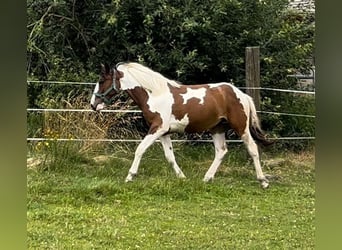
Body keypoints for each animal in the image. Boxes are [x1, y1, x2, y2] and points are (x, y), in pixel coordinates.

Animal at [91, 62, 272, 188]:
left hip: (241, 128)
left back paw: (263, 181)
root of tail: (242, 94)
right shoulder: (164, 133)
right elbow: (170, 156)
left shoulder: (157, 128)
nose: (93, 105)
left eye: (101, 80)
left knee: (253, 149)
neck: (154, 94)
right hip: (217, 128)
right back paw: (207, 178)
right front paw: (182, 177)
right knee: (221, 151)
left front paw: (130, 176)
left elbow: (140, 149)